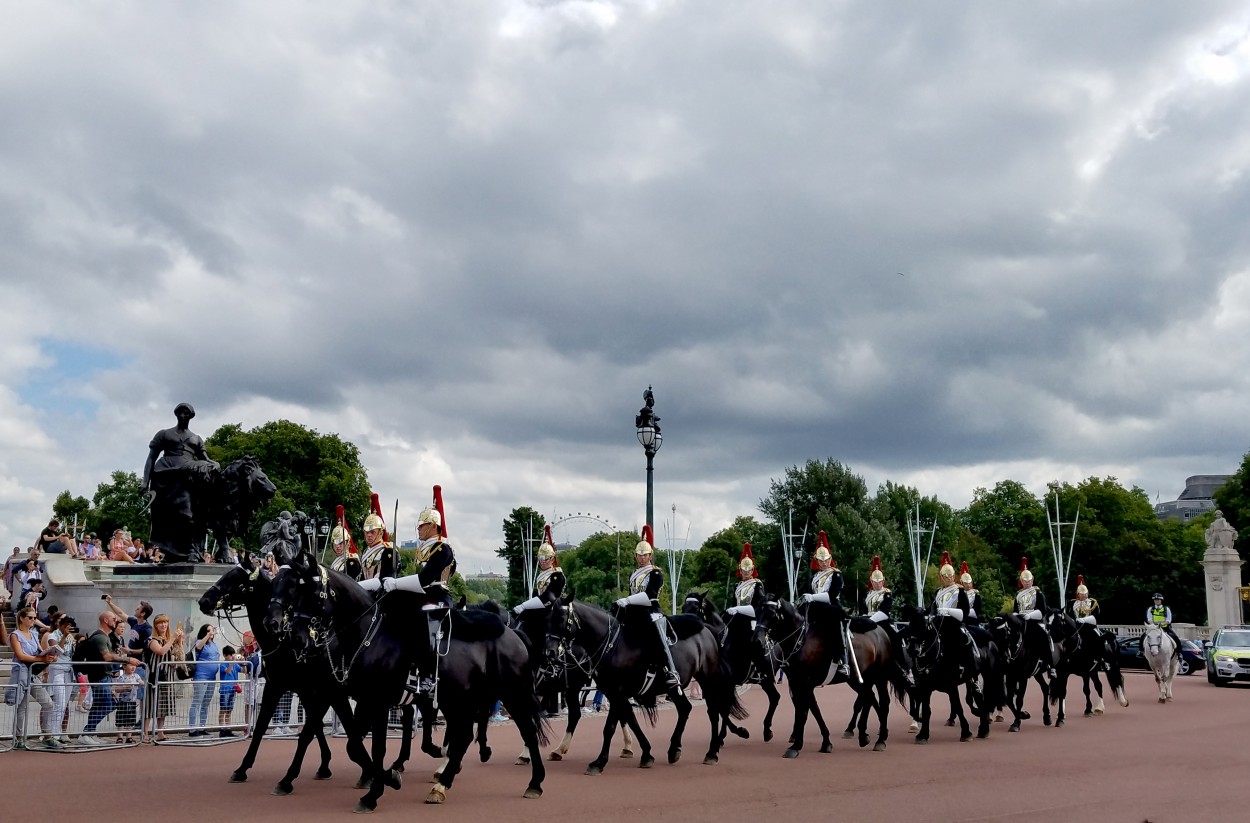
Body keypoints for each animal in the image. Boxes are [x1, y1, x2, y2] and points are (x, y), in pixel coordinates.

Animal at [268, 565, 547, 805]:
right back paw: (442, 783)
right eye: (293, 591)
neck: (368, 637)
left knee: (527, 732)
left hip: (511, 694)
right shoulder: (359, 699)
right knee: (466, 734)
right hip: (459, 698)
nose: (296, 636)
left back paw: (534, 782)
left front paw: (374, 792)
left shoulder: (372, 701)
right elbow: (354, 745)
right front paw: (385, 778)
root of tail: (512, 633)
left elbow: (372, 746)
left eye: (313, 594)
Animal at [545, 590, 740, 770]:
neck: (613, 646)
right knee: (686, 708)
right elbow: (631, 720)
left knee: (714, 711)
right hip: (675, 688)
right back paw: (674, 749)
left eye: (561, 617)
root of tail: (707, 629)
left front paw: (599, 762)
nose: (550, 652)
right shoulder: (616, 693)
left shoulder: (617, 692)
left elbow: (610, 727)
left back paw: (712, 752)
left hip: (707, 679)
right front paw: (646, 754)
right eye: (548, 617)